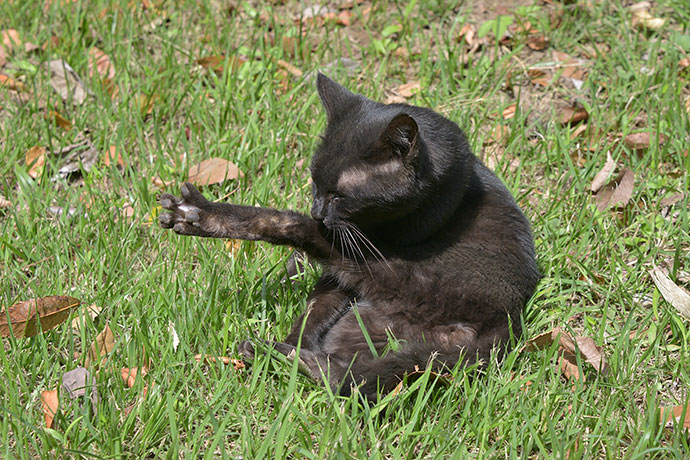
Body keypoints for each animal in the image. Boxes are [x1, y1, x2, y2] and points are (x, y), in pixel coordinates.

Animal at [159, 73, 540, 400]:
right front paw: (294, 338)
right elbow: (317, 305)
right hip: (364, 325)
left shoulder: (357, 245)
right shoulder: (340, 272)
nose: (317, 211)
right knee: (347, 370)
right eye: (314, 182)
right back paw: (280, 352)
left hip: (399, 275)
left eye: (340, 195)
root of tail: (505, 323)